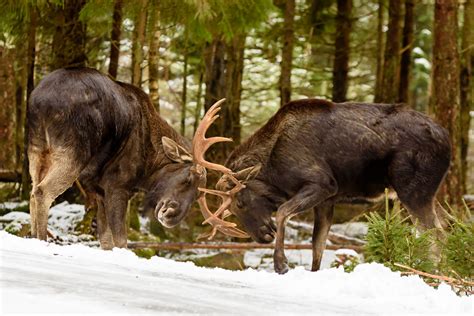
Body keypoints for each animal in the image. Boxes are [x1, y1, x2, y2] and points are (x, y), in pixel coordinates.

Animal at [25, 67, 241, 249]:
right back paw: (41, 240)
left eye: (198, 195)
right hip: (73, 151)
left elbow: (106, 240)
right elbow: (121, 240)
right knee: (43, 192)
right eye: (188, 178)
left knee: (33, 191)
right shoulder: (118, 185)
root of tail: (41, 101)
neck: (148, 168)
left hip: (37, 150)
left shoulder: (99, 190)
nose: (171, 216)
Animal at [198, 99, 450, 274]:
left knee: (435, 235)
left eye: (240, 203)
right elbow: (317, 247)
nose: (262, 237)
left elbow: (283, 212)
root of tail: (448, 140)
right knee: (445, 226)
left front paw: (281, 264)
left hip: (412, 190)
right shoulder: (327, 202)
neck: (273, 169)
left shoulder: (323, 184)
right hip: (428, 193)